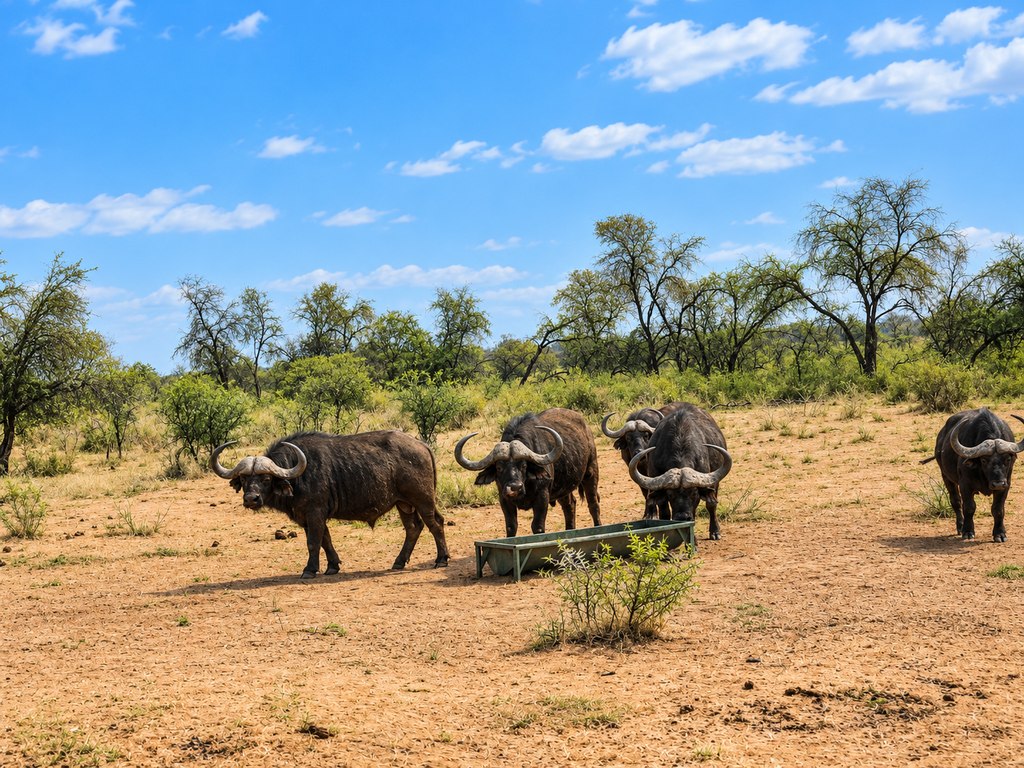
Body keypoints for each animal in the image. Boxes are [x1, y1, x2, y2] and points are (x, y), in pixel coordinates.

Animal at [212, 430, 450, 578]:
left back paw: (441, 560)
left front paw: (309, 569)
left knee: (435, 523)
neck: (298, 475)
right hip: (403, 503)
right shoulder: (308, 517)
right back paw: (399, 561)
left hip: (423, 499)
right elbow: (325, 540)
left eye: (266, 479)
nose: (251, 499)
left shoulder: (315, 513)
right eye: (244, 479)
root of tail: (422, 445)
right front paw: (333, 566)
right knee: (413, 528)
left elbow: (313, 542)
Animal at [454, 407, 601, 538]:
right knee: (570, 505)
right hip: (563, 487)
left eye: (524, 465)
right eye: (499, 468)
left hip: (591, 472)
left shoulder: (542, 496)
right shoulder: (504, 499)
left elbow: (538, 526)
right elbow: (511, 526)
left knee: (593, 504)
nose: (515, 487)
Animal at [628, 404, 732, 539]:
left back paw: (715, 532)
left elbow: (695, 515)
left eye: (694, 493)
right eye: (670, 494)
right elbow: (665, 514)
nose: (682, 517)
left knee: (711, 505)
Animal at [923, 408, 1024, 542]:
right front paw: (967, 531)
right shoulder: (965, 485)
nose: (998, 483)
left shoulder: (1006, 485)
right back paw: (960, 526)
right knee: (956, 501)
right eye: (984, 460)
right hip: (946, 477)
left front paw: (1000, 534)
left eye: (1007, 459)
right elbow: (969, 507)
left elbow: (998, 509)